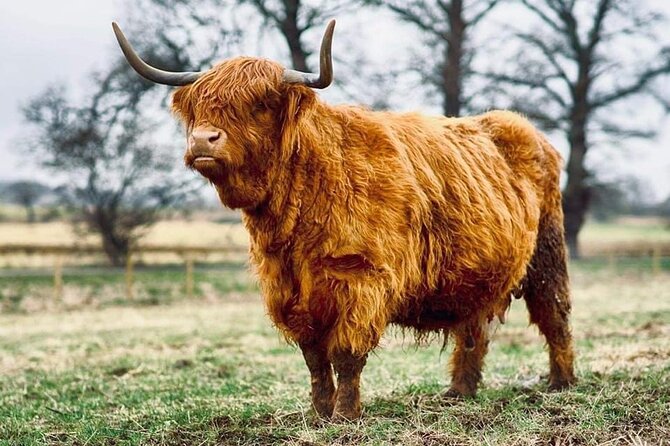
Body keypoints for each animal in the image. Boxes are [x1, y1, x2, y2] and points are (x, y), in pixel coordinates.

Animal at [113, 19, 575, 420]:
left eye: (259, 104)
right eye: (199, 105)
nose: (203, 140)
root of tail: (521, 126)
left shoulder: (362, 279)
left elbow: (346, 354)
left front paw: (345, 416)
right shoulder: (287, 288)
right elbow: (314, 359)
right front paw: (319, 412)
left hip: (548, 254)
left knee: (555, 314)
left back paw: (561, 384)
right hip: (476, 277)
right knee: (474, 330)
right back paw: (458, 393)